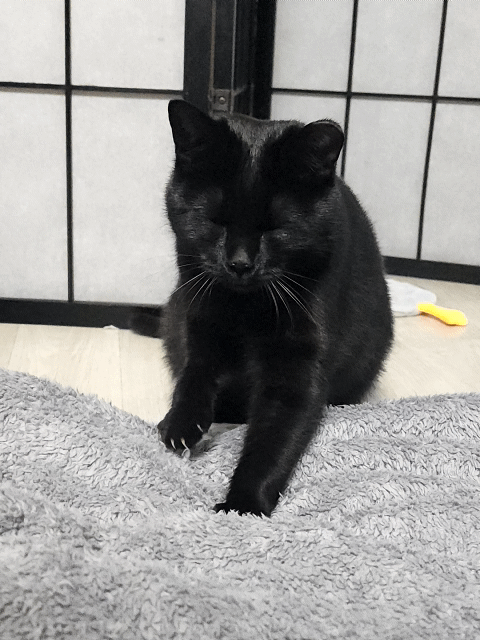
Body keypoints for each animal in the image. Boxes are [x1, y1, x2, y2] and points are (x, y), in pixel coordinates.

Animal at [133, 99, 393, 517]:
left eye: (276, 227)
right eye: (214, 220)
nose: (239, 263)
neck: (245, 309)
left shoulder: (298, 365)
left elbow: (275, 438)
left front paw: (243, 505)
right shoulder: (199, 317)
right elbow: (195, 373)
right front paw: (180, 424)